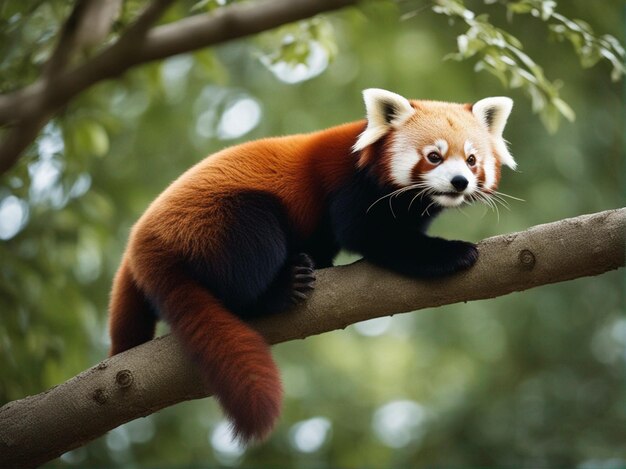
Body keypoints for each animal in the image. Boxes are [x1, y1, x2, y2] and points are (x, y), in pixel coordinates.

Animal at [108, 88, 516, 442]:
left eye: (472, 160)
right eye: (434, 156)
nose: (460, 182)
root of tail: (142, 243)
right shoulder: (350, 185)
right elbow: (369, 235)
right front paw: (450, 253)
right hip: (221, 220)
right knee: (248, 257)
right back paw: (281, 289)